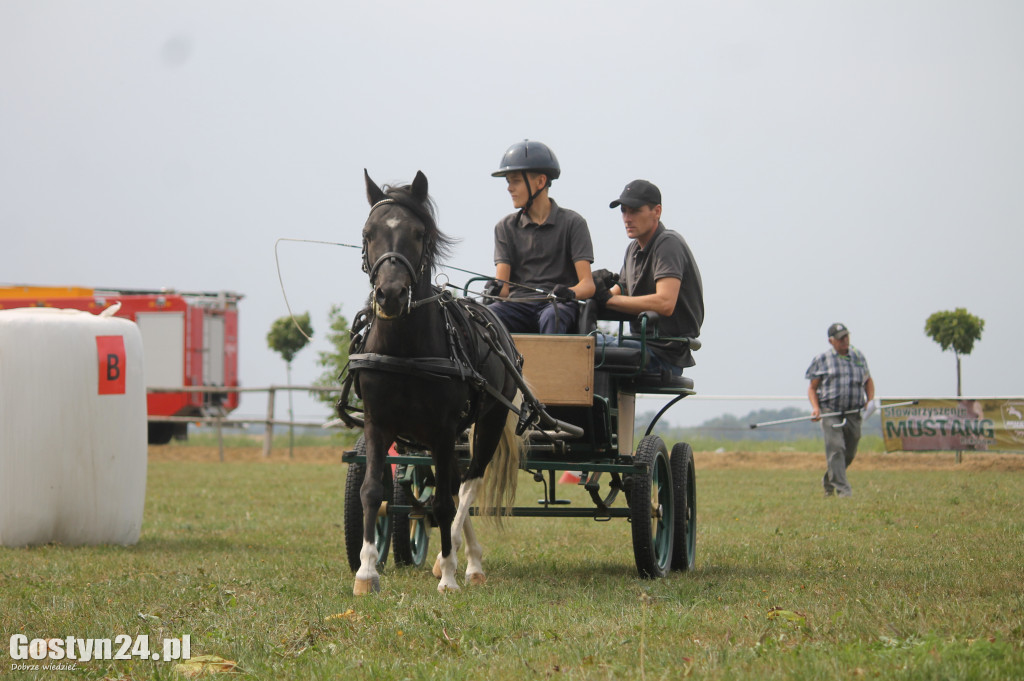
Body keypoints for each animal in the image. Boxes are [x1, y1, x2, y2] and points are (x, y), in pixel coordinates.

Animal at [346, 166, 524, 593]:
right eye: (368, 233)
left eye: (418, 233)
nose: (391, 294)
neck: (406, 351)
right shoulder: (379, 423)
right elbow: (371, 491)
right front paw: (367, 572)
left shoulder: (444, 428)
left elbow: (445, 502)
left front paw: (447, 576)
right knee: (456, 483)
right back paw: (468, 559)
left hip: (489, 421)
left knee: (469, 482)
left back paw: (458, 559)